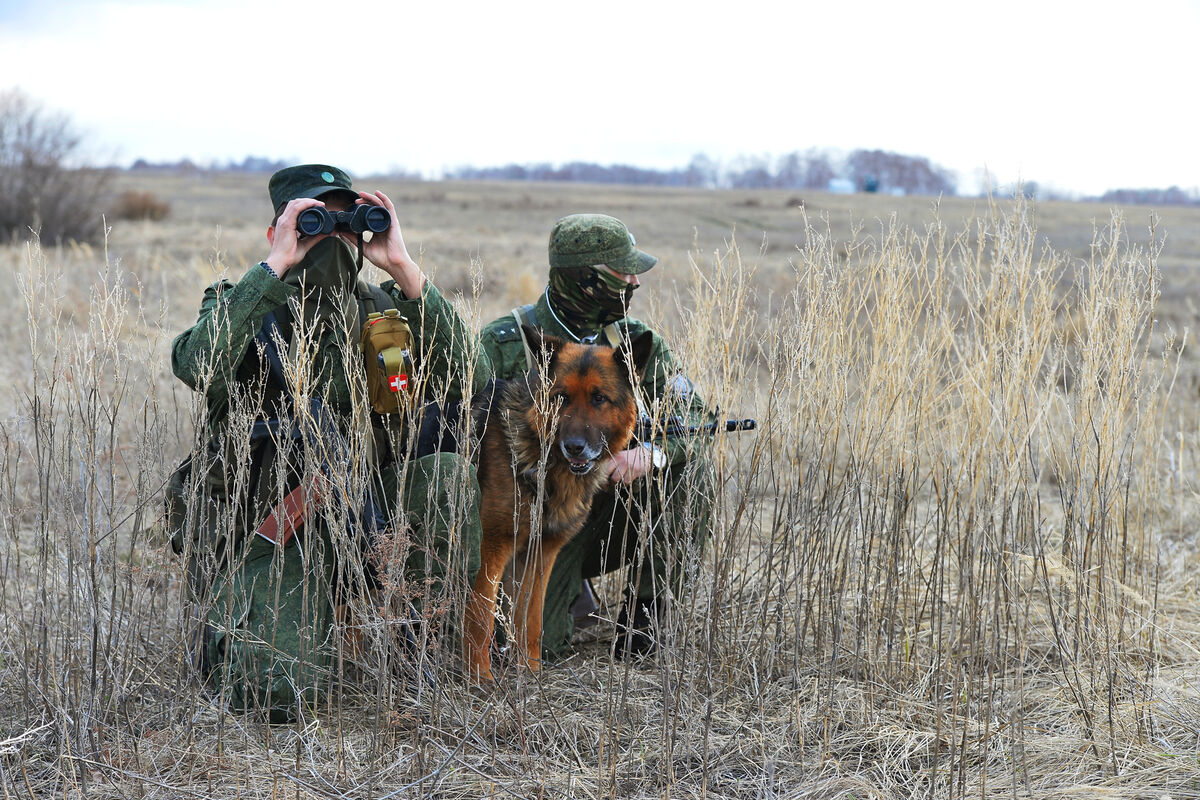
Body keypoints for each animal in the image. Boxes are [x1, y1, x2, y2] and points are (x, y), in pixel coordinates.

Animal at [465, 326, 657, 681]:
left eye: (599, 398)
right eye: (561, 397)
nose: (574, 447)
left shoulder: (539, 553)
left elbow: (531, 619)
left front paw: (529, 670)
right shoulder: (490, 547)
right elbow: (480, 617)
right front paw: (479, 677)